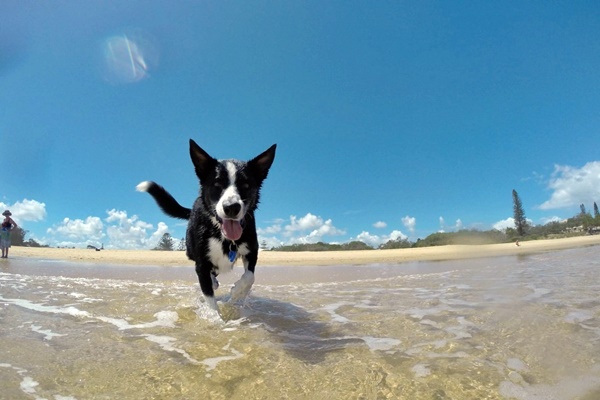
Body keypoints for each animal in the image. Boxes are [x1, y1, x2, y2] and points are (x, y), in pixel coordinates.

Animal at [137, 141, 276, 312]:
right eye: (216, 184)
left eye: (245, 185)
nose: (231, 207)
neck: (224, 237)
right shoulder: (202, 264)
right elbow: (210, 298)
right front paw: (215, 316)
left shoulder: (251, 252)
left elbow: (250, 277)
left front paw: (236, 293)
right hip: (190, 249)